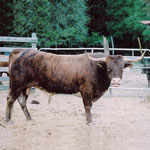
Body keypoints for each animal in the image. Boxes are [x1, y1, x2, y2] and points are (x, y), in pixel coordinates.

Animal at [4, 48, 145, 123]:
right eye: (109, 68)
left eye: (121, 68)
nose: (116, 81)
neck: (96, 67)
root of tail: (21, 51)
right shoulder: (86, 90)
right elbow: (87, 106)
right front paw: (90, 122)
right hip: (17, 85)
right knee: (10, 99)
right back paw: (8, 120)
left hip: (25, 87)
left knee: (22, 101)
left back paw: (29, 119)